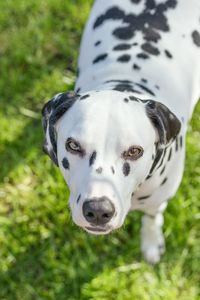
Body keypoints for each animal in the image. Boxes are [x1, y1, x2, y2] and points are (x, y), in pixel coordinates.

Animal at [41, 0, 199, 262]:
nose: (98, 210)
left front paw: (151, 242)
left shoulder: (158, 199)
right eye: (73, 145)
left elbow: (151, 218)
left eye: (134, 151)